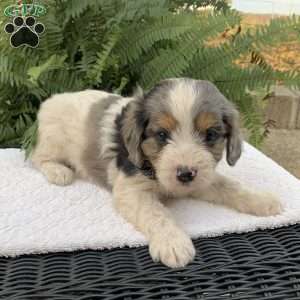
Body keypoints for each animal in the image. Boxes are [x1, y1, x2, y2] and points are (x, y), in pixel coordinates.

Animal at [30, 77, 282, 268]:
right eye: (162, 135)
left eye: (210, 135)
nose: (185, 174)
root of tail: (52, 100)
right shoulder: (132, 190)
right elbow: (156, 213)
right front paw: (173, 242)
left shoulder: (203, 176)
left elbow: (229, 185)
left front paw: (263, 200)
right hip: (53, 141)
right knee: (37, 157)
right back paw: (58, 171)